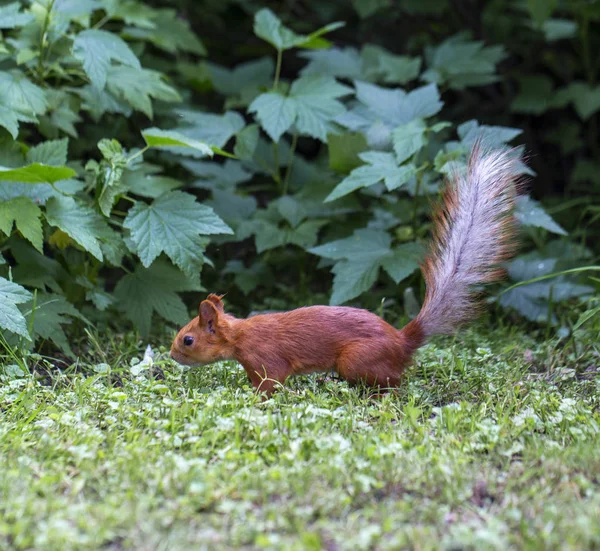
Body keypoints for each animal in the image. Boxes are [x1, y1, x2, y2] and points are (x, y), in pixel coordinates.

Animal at [170, 147, 520, 396]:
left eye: (188, 340)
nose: (171, 356)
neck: (241, 336)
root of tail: (402, 342)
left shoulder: (266, 360)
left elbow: (271, 384)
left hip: (357, 359)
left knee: (392, 385)